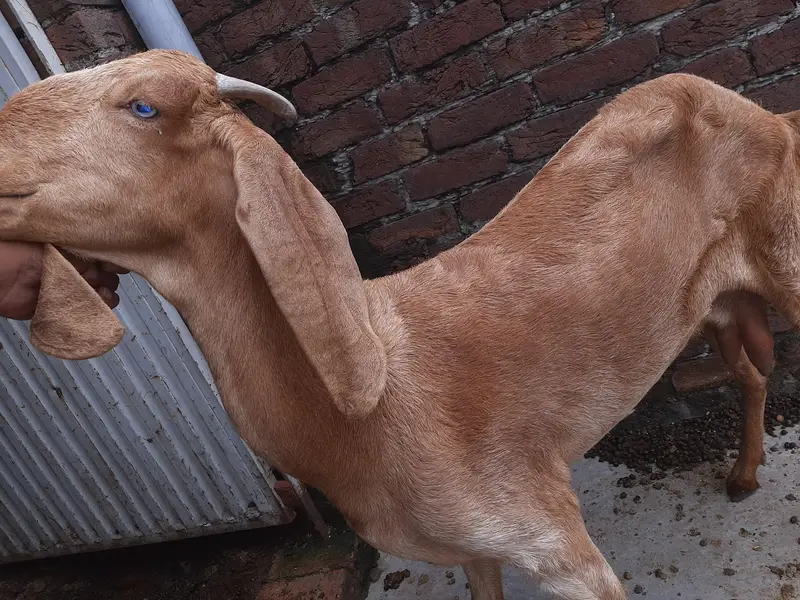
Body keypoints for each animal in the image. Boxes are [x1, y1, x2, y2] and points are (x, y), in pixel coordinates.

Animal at [0, 49, 797, 600]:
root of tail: (763, 112)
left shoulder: (549, 534)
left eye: (143, 107)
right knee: (753, 372)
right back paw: (743, 475)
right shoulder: (479, 548)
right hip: (715, 306)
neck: (375, 406)